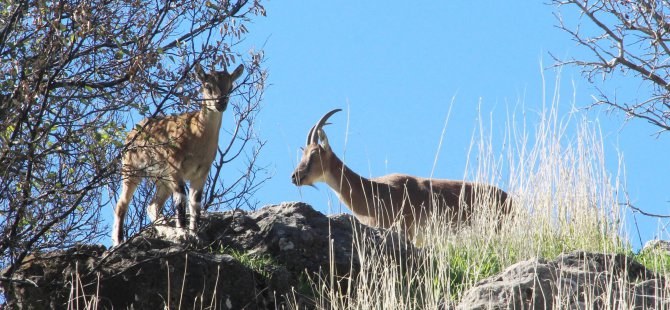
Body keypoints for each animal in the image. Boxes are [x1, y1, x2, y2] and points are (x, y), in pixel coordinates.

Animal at [112, 63, 244, 247]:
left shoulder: (201, 173)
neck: (197, 136)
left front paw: (195, 234)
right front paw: (183, 233)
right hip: (132, 168)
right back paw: (119, 241)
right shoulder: (175, 167)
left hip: (161, 179)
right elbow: (181, 201)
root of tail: (130, 134)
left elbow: (195, 203)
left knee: (153, 205)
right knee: (122, 204)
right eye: (207, 86)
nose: (221, 103)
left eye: (231, 86)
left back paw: (167, 231)